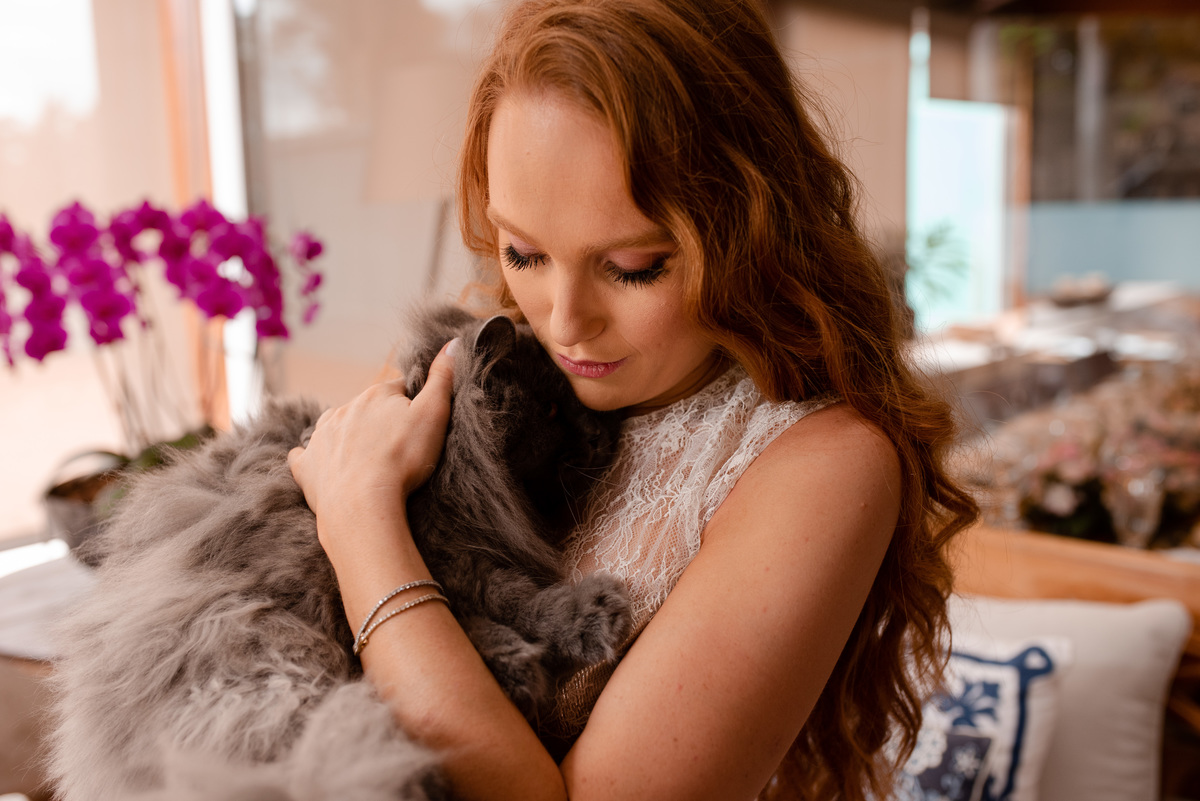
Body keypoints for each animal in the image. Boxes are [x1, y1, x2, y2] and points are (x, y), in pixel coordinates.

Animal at [48, 304, 631, 801]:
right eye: (551, 410)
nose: (603, 435)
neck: (441, 490)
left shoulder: (468, 566)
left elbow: (524, 603)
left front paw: (584, 625)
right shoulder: (435, 571)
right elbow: (488, 614)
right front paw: (521, 664)